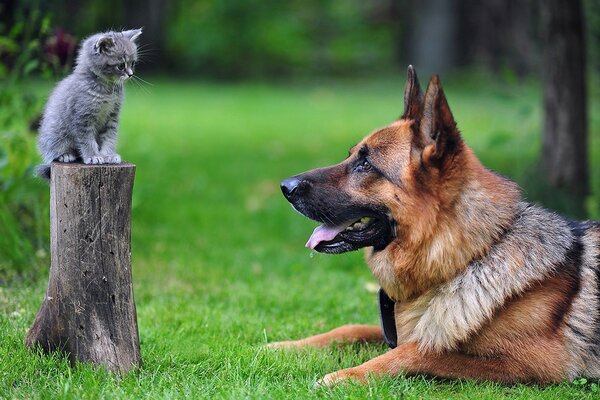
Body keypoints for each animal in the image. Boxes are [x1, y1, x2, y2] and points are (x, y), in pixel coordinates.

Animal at [36, 28, 142, 178]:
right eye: (121, 65)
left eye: (133, 63)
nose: (131, 74)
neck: (107, 90)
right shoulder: (82, 117)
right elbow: (87, 140)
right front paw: (93, 156)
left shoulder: (112, 116)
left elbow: (109, 137)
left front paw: (108, 155)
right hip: (54, 131)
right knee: (52, 150)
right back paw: (65, 155)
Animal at [274, 67, 600, 386]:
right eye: (352, 155)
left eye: (365, 165)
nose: (285, 187)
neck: (470, 257)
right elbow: (352, 328)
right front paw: (284, 345)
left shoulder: (535, 362)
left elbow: (420, 350)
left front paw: (347, 375)